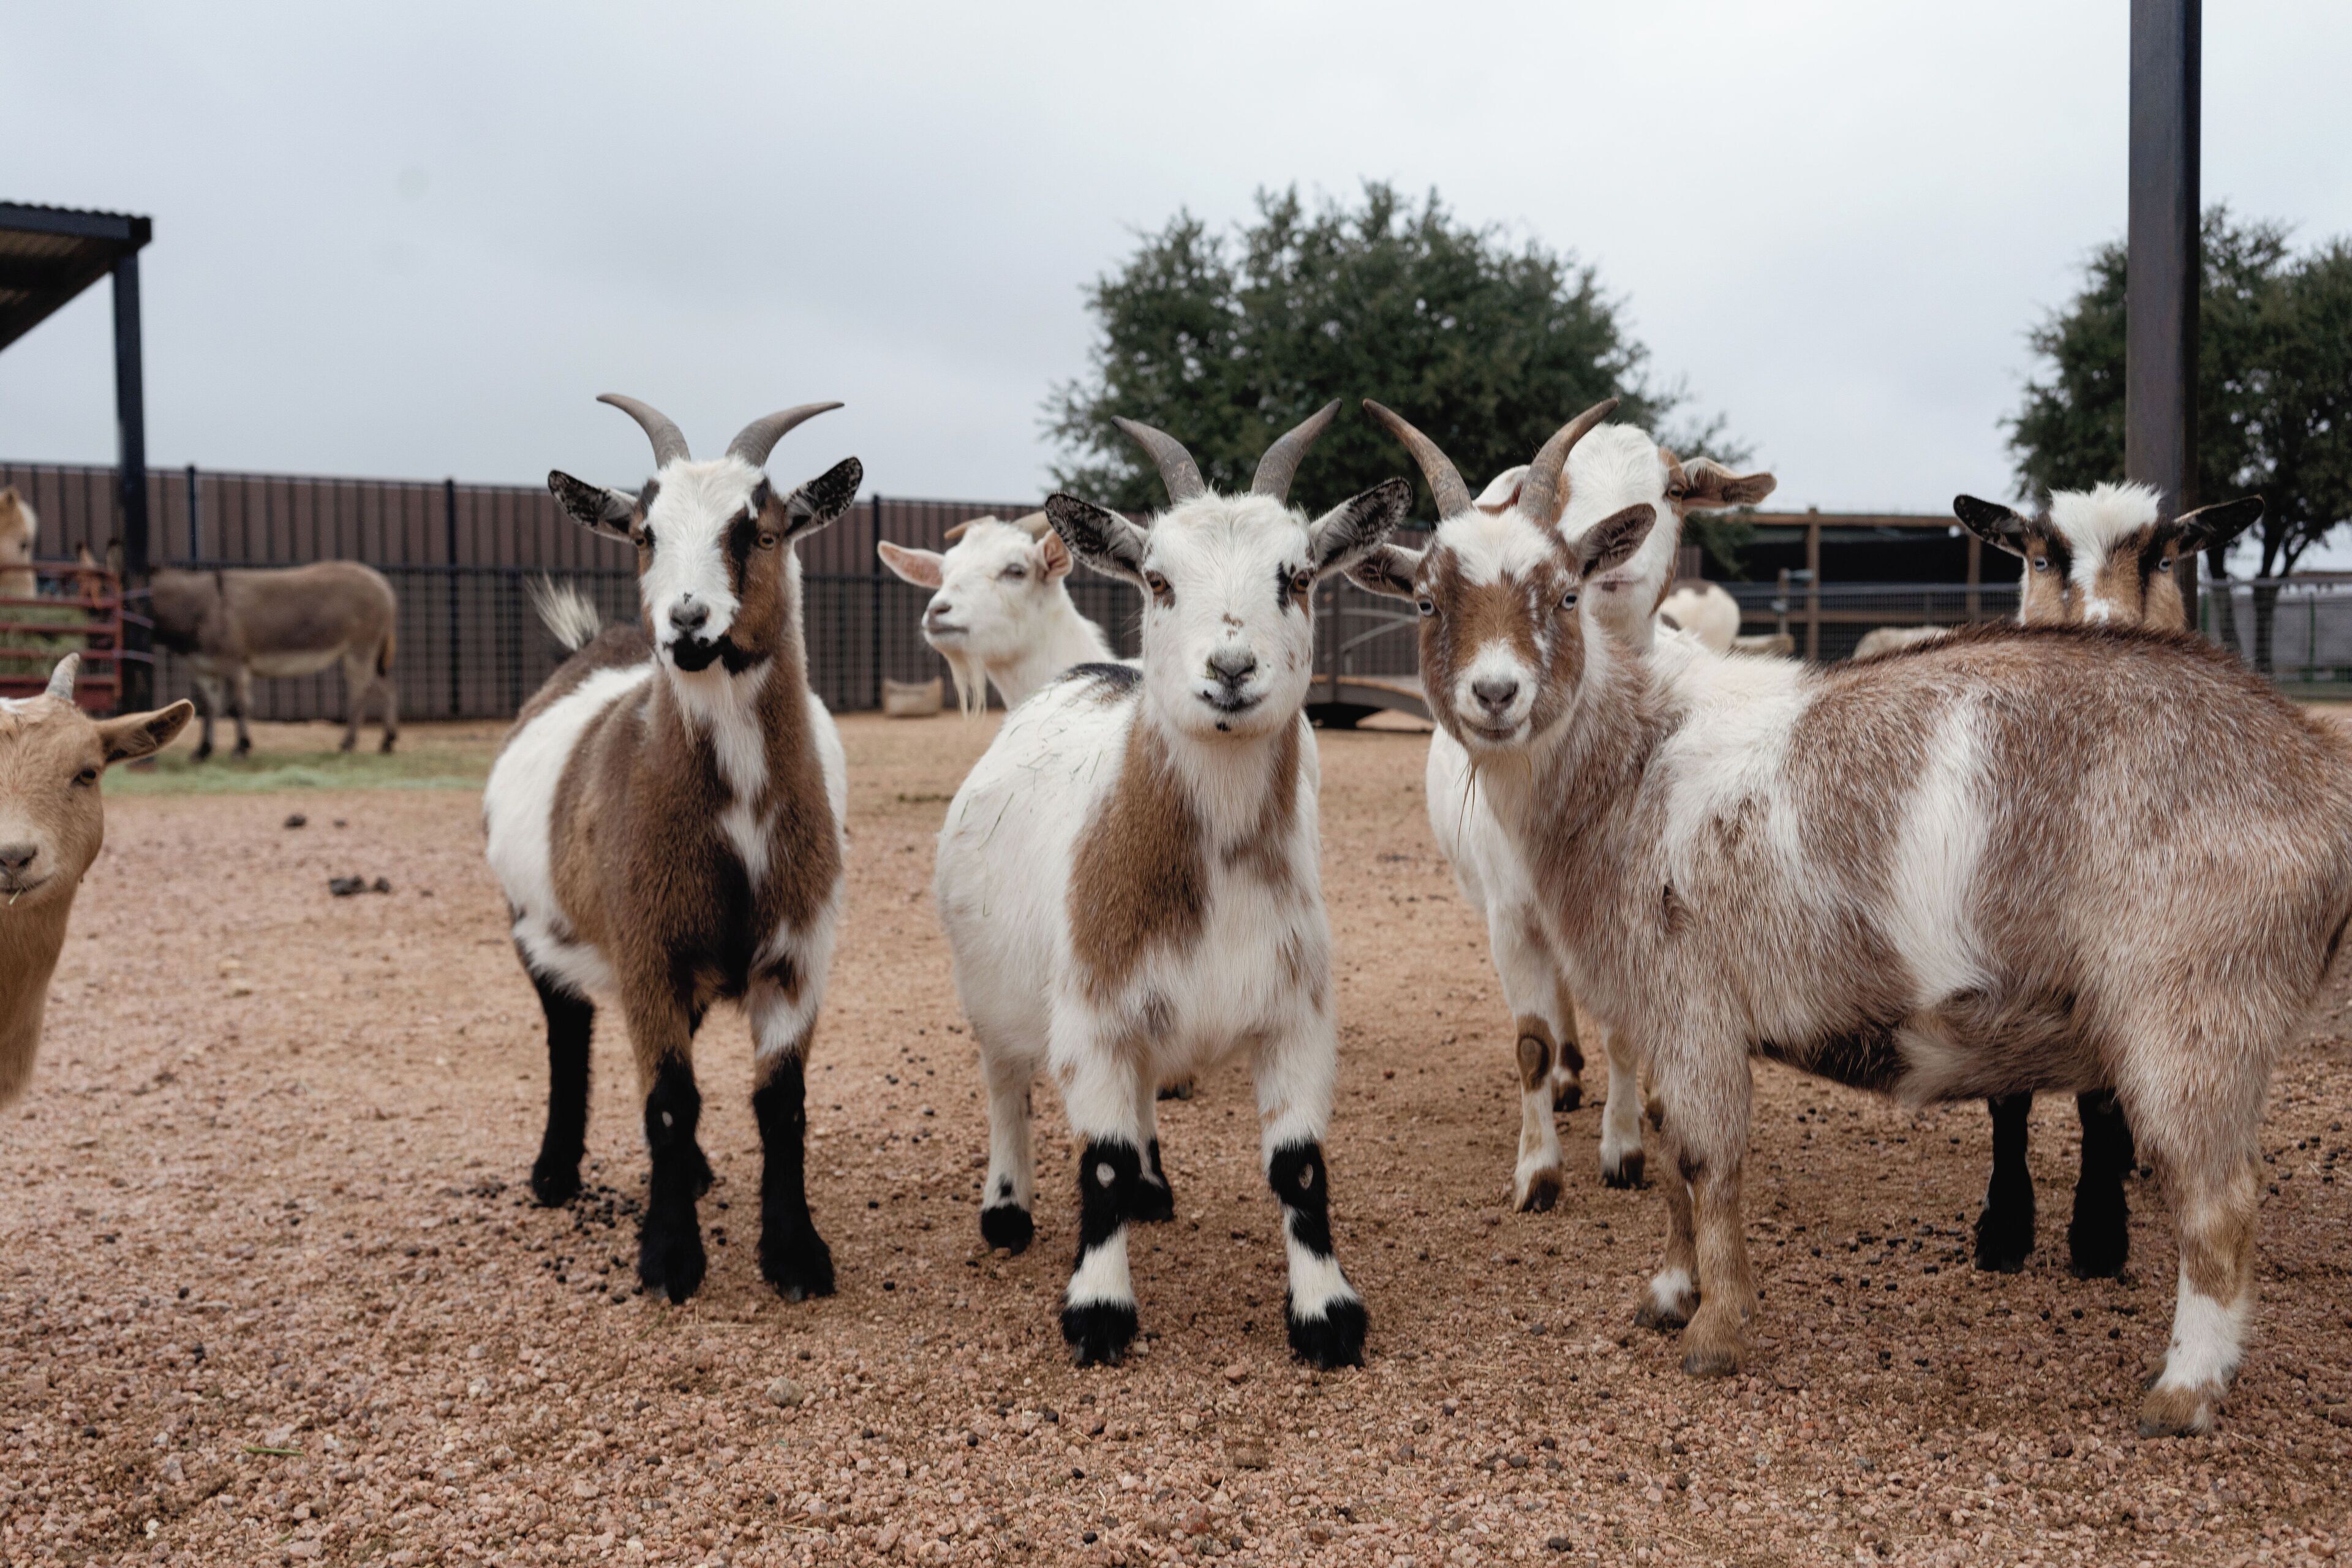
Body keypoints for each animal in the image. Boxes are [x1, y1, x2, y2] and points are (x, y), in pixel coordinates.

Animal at [147, 562, 400, 758]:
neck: (200, 607)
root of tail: (382, 582)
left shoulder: (234, 665)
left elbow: (238, 707)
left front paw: (241, 748)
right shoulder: (202, 670)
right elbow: (206, 708)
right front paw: (203, 751)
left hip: (360, 648)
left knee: (361, 691)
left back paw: (348, 743)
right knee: (386, 688)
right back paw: (387, 742)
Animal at [484, 395, 862, 1305]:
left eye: (761, 530)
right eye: (644, 533)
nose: (687, 623)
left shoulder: (798, 952)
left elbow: (780, 1103)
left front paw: (796, 1257)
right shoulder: (645, 947)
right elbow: (666, 1099)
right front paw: (668, 1260)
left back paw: (689, 1173)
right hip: (534, 923)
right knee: (566, 1029)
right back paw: (555, 1174)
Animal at [933, 404, 1407, 1368]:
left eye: (1298, 576)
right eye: (1157, 579)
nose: (1230, 669)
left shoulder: (1296, 1017)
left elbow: (1299, 1165)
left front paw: (1327, 1312)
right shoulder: (1089, 1017)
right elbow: (1101, 1161)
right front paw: (1100, 1310)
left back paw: (1155, 1186)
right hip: (991, 988)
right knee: (1005, 1086)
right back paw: (1007, 1209)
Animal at [1412, 415, 1773, 1209]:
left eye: (1676, 488)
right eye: (1561, 489)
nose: (1612, 566)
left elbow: (1628, 1033)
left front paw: (1625, 1146)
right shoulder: (1509, 913)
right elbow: (1531, 1040)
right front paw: (1537, 1169)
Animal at [1944, 481, 2265, 1278]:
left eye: (2166, 557)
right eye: (2037, 556)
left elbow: (2099, 1099)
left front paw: (2096, 1234)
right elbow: (2007, 1095)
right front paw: (2004, 1229)